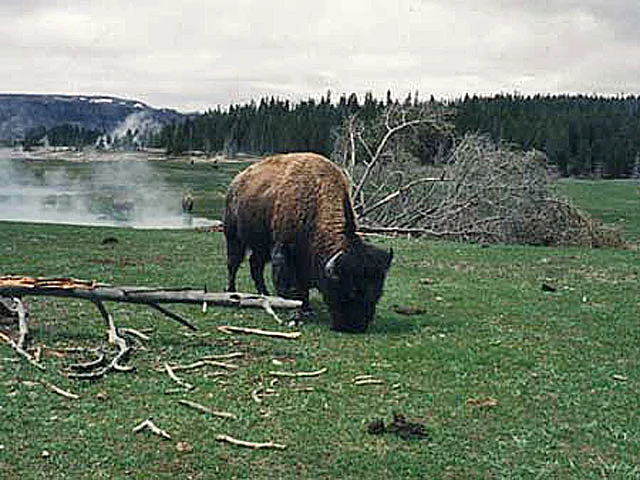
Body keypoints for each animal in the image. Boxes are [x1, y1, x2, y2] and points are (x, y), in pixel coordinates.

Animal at [224, 152, 393, 332]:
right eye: (351, 290)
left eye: (377, 294)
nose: (355, 327)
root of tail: (237, 181)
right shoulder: (284, 252)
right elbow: (290, 285)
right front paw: (295, 312)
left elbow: (302, 285)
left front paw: (306, 307)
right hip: (234, 237)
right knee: (233, 263)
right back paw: (232, 292)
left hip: (261, 247)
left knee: (255, 264)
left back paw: (265, 295)